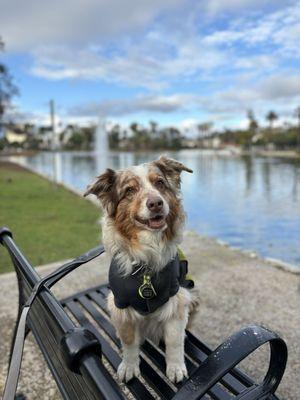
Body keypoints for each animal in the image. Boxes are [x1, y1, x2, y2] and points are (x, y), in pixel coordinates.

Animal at [84, 156, 199, 384]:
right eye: (129, 191)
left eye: (160, 183)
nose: (156, 203)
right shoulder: (120, 303)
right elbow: (129, 341)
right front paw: (129, 366)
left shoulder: (177, 300)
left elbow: (174, 341)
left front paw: (176, 367)